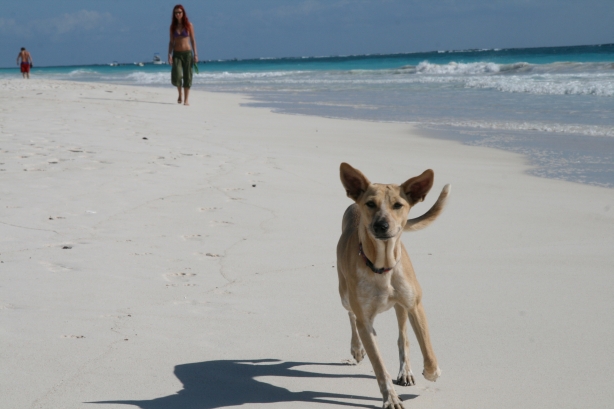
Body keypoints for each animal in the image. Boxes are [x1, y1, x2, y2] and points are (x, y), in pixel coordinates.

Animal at [336, 163, 452, 408]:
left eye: (398, 205)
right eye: (371, 204)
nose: (381, 225)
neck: (382, 266)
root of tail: (353, 204)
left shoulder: (415, 305)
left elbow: (427, 349)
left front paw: (431, 372)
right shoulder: (365, 322)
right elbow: (380, 367)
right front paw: (390, 397)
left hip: (401, 306)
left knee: (403, 336)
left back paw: (406, 371)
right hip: (344, 295)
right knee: (350, 315)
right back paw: (356, 348)